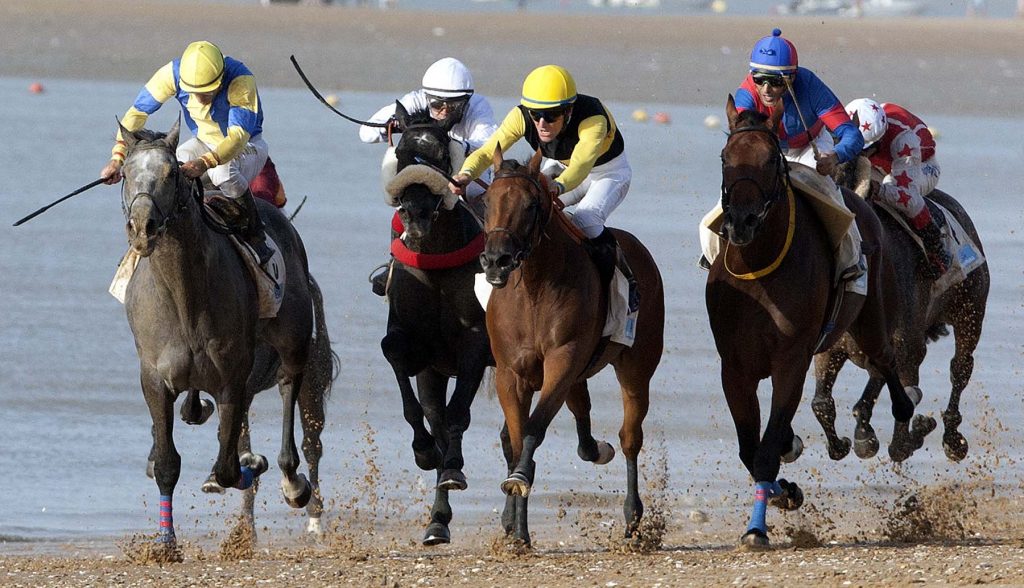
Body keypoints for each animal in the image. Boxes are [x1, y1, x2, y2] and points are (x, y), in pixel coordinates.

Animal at [119, 119, 334, 555]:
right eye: (126, 173)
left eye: (172, 173)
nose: (143, 227)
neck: (183, 295)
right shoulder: (154, 378)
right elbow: (168, 462)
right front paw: (167, 542)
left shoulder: (232, 377)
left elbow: (230, 464)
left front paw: (256, 468)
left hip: (301, 353)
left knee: (303, 429)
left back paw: (301, 494)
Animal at [378, 103, 493, 545]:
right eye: (402, 153)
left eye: (441, 153)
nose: (416, 214)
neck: (435, 262)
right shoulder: (416, 345)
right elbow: (398, 361)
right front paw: (425, 451)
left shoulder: (476, 341)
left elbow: (459, 413)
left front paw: (454, 465)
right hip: (434, 371)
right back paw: (437, 520)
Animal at [480, 146, 665, 547]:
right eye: (487, 201)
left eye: (531, 204)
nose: (497, 259)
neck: (534, 288)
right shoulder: (510, 374)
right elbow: (516, 437)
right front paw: (517, 529)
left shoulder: (562, 361)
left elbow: (532, 430)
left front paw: (519, 482)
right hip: (578, 374)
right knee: (582, 419)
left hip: (635, 366)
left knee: (630, 437)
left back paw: (633, 518)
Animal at [705, 96, 935, 549]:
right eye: (725, 157)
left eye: (771, 160)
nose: (741, 222)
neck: (759, 269)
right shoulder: (734, 367)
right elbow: (750, 448)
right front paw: (785, 491)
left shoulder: (790, 361)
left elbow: (764, 449)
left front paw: (757, 528)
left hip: (872, 315)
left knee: (887, 361)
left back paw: (907, 416)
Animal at [811, 158, 989, 462]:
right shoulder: (833, 347)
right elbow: (821, 403)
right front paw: (851, 441)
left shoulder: (909, 346)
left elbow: (900, 439)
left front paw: (918, 430)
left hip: (970, 309)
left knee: (960, 367)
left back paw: (953, 439)